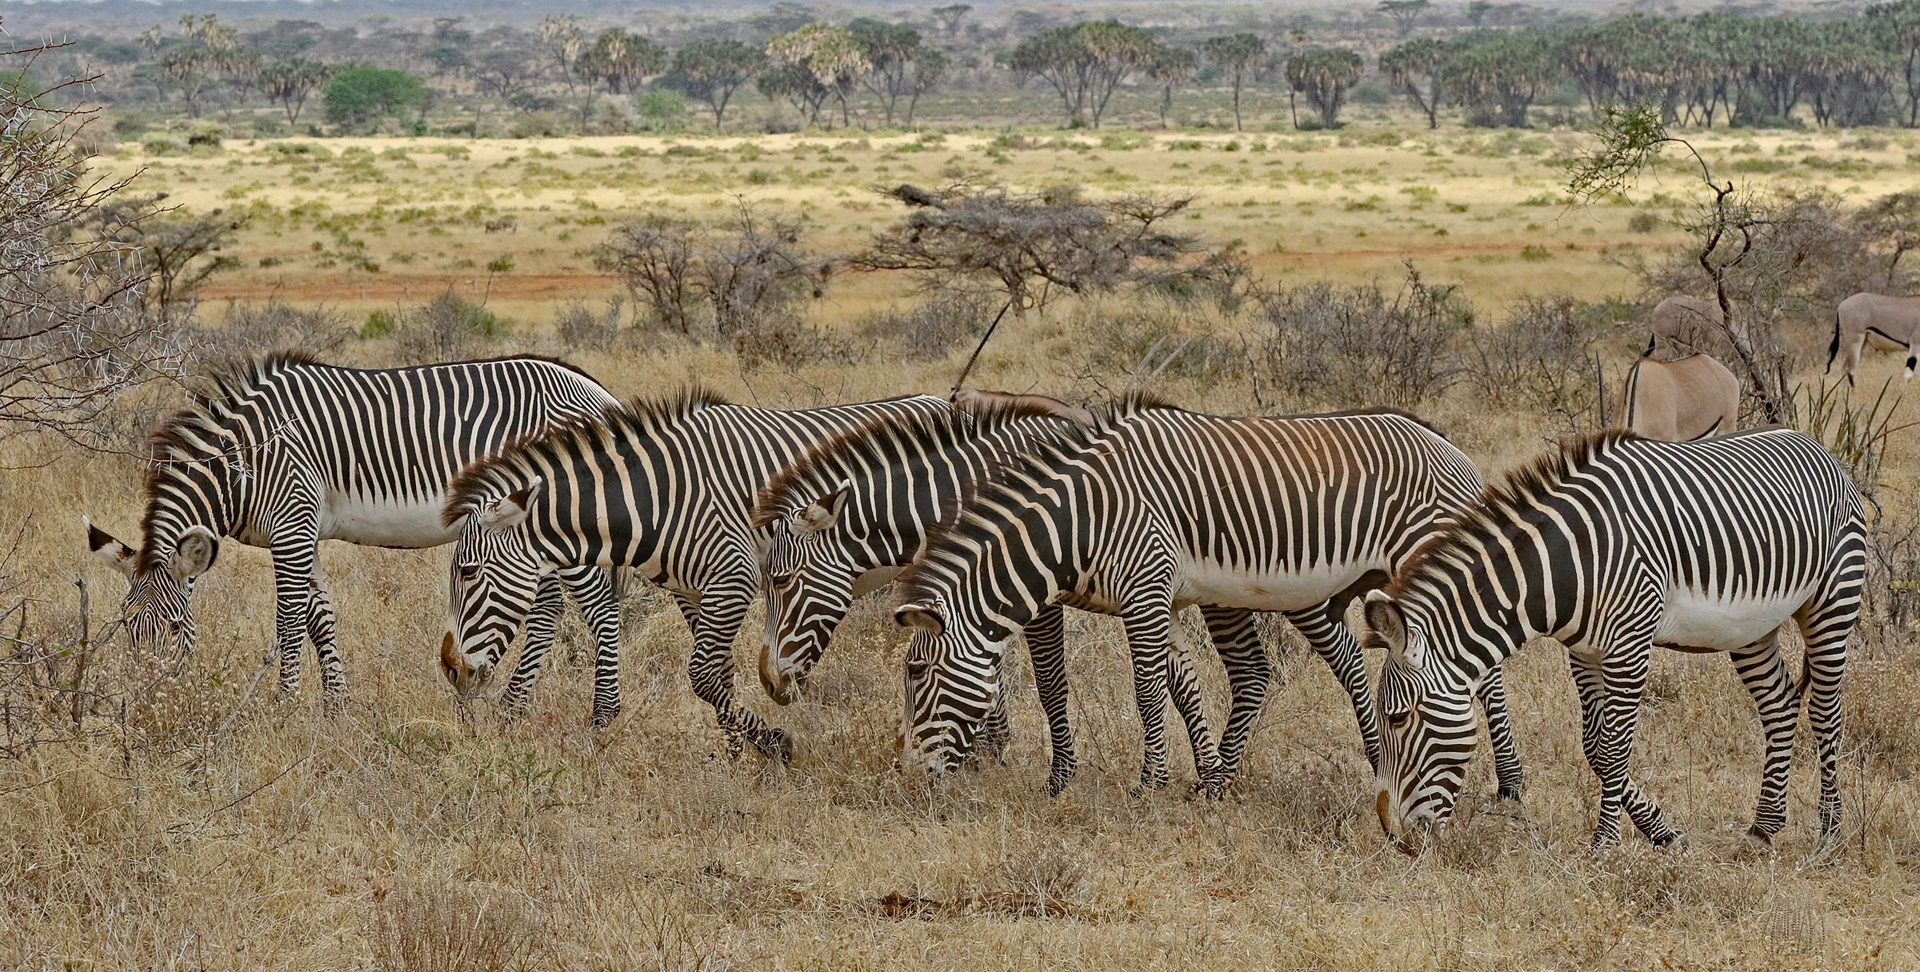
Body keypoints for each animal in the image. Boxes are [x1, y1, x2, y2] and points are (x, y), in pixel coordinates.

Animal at [84, 349, 622, 722]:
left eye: (176, 629)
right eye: (126, 629)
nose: (151, 706)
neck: (245, 465)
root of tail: (600, 393)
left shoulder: (292, 524)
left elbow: (288, 622)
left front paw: (283, 707)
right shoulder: (301, 532)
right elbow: (319, 619)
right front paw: (336, 710)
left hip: (563, 515)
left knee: (600, 608)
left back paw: (603, 716)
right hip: (527, 529)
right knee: (547, 611)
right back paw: (512, 710)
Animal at [433, 388, 944, 760]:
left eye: (468, 571)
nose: (451, 671)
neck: (656, 499)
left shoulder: (733, 578)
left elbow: (701, 674)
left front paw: (773, 744)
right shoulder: (693, 590)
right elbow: (720, 673)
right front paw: (736, 754)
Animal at [748, 399, 1244, 795]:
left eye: (781, 580)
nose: (769, 682)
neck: (957, 498)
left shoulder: (1035, 591)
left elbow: (1049, 683)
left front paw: (1057, 777)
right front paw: (984, 749)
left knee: (1246, 669)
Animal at [887, 395, 1528, 799]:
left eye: (916, 671)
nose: (911, 775)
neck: (1082, 517)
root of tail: (1440, 437)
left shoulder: (1144, 588)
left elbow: (1146, 692)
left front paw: (1150, 784)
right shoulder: (1159, 599)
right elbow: (1182, 687)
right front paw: (1211, 777)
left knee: (1484, 673)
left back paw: (1511, 784)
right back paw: (1381, 761)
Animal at [1367, 430, 1858, 849]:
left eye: (1397, 718)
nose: (1392, 834)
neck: (1566, 563)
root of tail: (1815, 445)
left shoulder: (1631, 643)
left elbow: (1614, 746)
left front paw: (1604, 844)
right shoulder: (1584, 652)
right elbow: (1595, 747)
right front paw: (1660, 831)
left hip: (1833, 600)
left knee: (1826, 713)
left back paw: (1831, 831)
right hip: (1751, 628)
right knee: (1780, 705)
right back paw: (1764, 827)